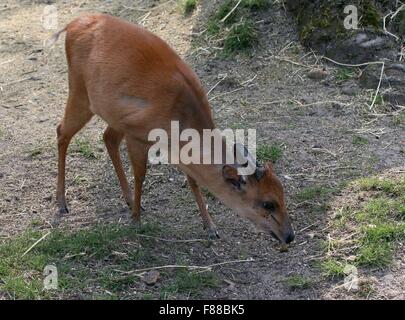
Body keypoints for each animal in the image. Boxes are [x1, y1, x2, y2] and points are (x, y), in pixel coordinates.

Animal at [52, 13, 294, 246]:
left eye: (283, 194)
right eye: (268, 204)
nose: (289, 236)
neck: (180, 117)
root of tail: (71, 26)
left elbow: (193, 180)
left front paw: (210, 227)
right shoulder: (137, 135)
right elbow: (140, 175)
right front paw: (136, 220)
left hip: (113, 114)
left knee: (107, 137)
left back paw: (126, 199)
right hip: (80, 93)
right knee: (62, 131)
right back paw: (62, 202)